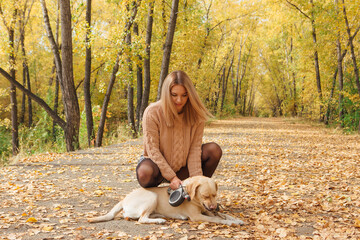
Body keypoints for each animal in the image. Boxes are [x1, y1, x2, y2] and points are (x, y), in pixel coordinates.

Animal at [88, 176, 245, 225]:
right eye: (205, 196)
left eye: (215, 195)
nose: (214, 207)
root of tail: (124, 199)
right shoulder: (197, 216)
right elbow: (217, 219)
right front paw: (231, 222)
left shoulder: (206, 211)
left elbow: (224, 215)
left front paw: (236, 219)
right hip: (152, 197)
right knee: (141, 219)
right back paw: (159, 220)